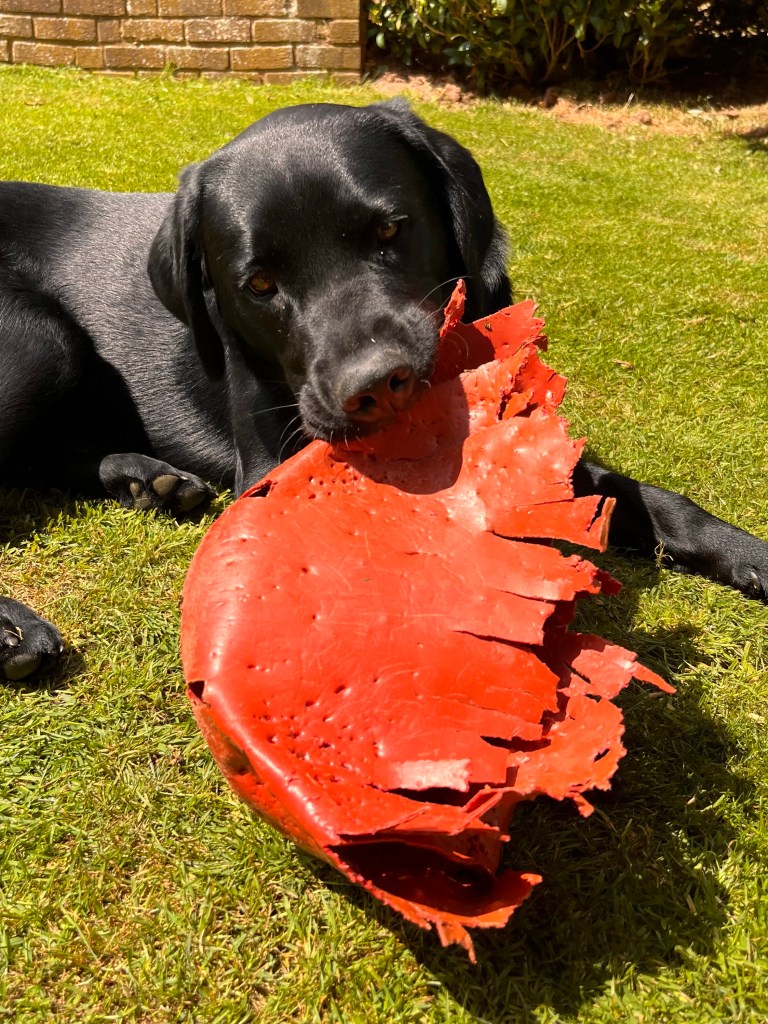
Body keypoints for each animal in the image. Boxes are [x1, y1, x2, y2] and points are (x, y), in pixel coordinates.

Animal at [1, 99, 767, 681]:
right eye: (259, 284)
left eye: (391, 230)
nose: (377, 388)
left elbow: (657, 500)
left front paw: (751, 555)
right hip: (40, 338)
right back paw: (14, 629)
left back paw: (150, 479)